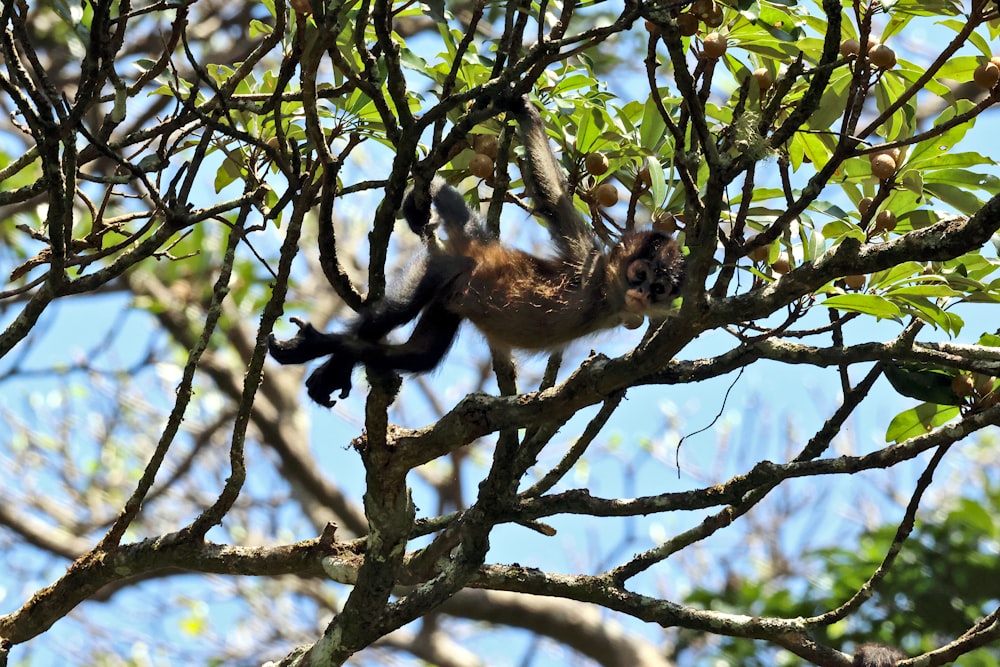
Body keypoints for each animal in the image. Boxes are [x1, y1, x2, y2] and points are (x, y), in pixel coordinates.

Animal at [268, 94, 688, 408]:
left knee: (421, 353)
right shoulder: (589, 262)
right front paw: (523, 109)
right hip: (444, 266)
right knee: (396, 314)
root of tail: (479, 246)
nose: (641, 294)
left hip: (449, 298)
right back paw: (321, 350)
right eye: (640, 274)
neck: (605, 297)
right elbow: (552, 197)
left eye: (659, 289)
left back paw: (340, 358)